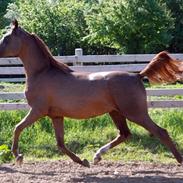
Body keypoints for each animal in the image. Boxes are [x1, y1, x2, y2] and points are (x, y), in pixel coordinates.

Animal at [0, 20, 182, 167]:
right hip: (116, 112)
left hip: (135, 113)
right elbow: (60, 144)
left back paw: (179, 160)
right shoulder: (56, 116)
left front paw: (18, 156)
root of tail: (137, 75)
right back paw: (97, 156)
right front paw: (83, 161)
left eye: (6, 38)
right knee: (124, 134)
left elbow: (17, 128)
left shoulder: (38, 110)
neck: (42, 73)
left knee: (160, 132)